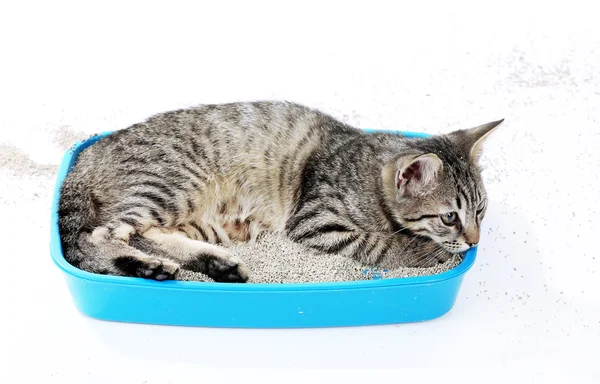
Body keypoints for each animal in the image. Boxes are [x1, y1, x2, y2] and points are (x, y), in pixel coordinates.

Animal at [59, 101, 502, 282]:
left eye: (481, 211)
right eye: (450, 216)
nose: (475, 241)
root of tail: (88, 153)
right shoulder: (315, 221)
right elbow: (380, 244)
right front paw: (425, 251)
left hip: (202, 219)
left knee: (147, 234)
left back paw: (213, 264)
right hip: (175, 183)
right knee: (98, 236)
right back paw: (145, 267)